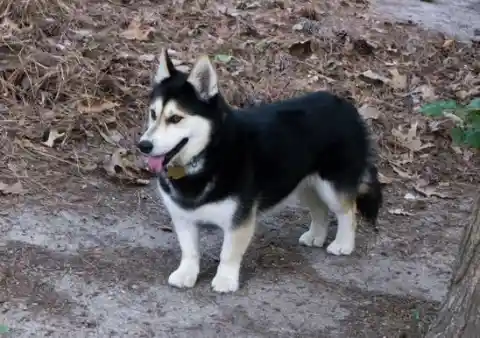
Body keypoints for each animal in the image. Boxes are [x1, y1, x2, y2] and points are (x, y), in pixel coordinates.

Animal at [136, 48, 382, 294]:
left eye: (175, 118)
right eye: (152, 113)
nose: (143, 145)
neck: (209, 153)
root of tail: (347, 106)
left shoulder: (239, 219)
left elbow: (228, 253)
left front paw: (225, 279)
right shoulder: (182, 217)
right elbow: (189, 250)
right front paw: (186, 273)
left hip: (331, 185)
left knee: (347, 211)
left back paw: (343, 244)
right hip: (304, 184)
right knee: (320, 209)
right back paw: (316, 236)